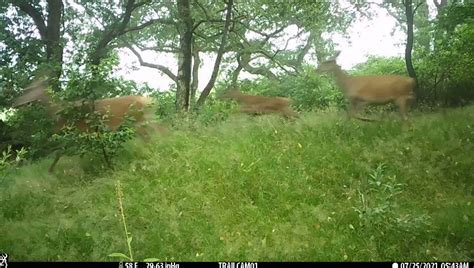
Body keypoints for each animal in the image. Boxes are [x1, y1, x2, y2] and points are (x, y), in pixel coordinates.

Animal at [12, 74, 167, 173]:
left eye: (28, 90)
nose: (15, 103)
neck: (59, 111)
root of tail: (147, 99)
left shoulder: (80, 132)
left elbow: (61, 152)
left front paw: (51, 170)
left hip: (137, 121)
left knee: (153, 134)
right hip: (146, 119)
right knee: (160, 128)